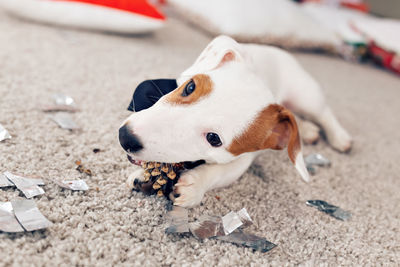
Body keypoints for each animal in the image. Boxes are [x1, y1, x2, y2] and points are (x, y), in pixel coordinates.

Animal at [119, 35, 354, 207]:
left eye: (214, 139)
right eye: (190, 87)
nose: (125, 137)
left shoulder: (243, 159)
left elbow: (221, 172)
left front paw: (194, 186)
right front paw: (145, 176)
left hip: (305, 96)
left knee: (323, 113)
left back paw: (339, 137)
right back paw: (307, 130)